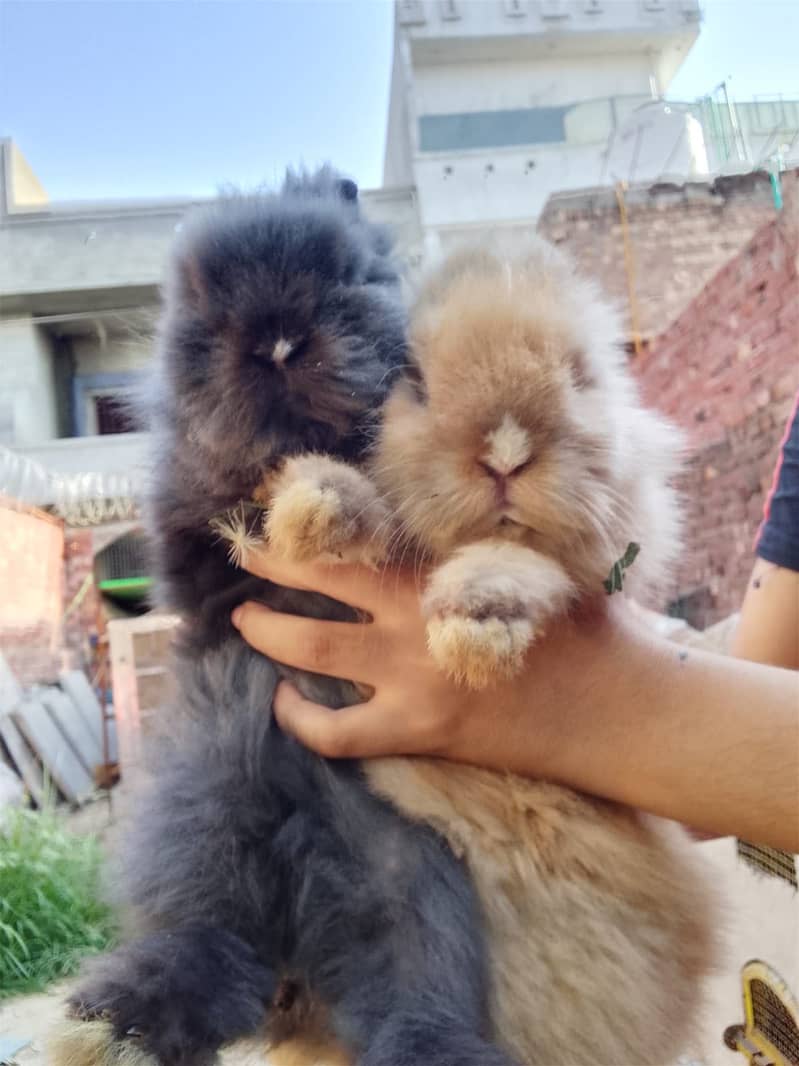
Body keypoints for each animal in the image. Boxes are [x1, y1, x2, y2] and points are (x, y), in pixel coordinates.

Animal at [49, 174, 515, 1066]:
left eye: (346, 274)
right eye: (201, 304)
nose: (274, 341)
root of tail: (299, 893)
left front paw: (326, 501)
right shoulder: (197, 561)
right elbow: (223, 498)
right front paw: (302, 500)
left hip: (411, 875)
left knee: (414, 984)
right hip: (200, 830)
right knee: (205, 938)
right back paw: (120, 1023)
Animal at [267, 238, 720, 1066]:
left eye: (582, 374)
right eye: (412, 380)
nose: (505, 451)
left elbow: (525, 566)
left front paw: (475, 618)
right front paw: (315, 504)